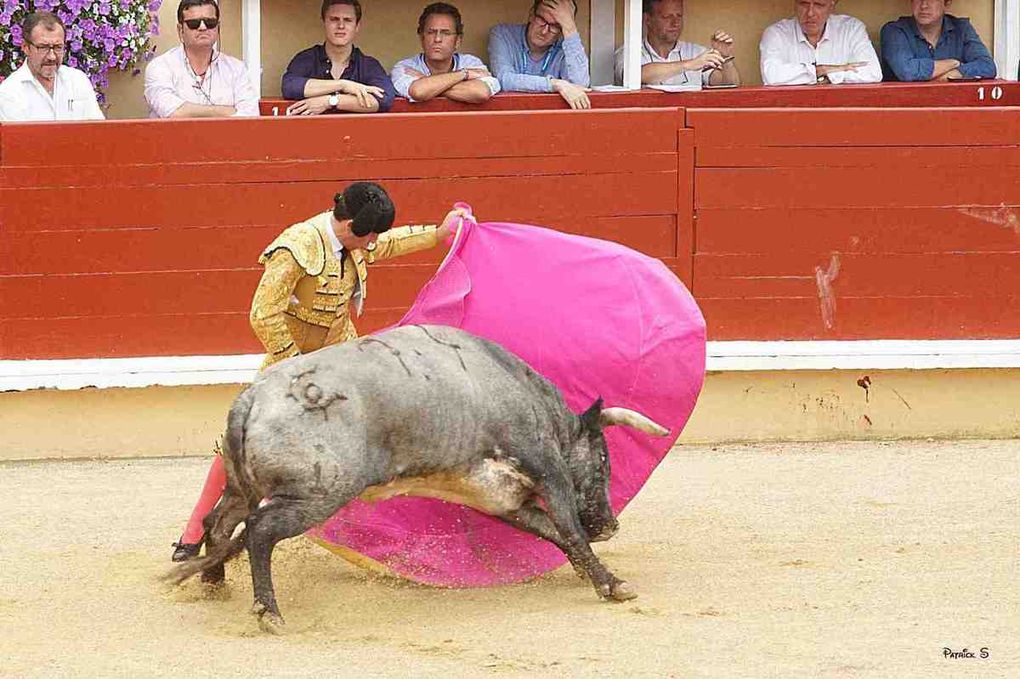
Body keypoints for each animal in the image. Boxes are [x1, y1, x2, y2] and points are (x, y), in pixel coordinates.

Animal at [169, 322, 669, 628]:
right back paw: (268, 612)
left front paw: (597, 577)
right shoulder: (547, 468)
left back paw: (214, 584)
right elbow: (569, 529)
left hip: (244, 486)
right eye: (603, 460)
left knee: (220, 523)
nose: (610, 524)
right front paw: (613, 585)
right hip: (318, 495)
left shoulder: (501, 500)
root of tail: (251, 399)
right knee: (260, 531)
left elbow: (555, 534)